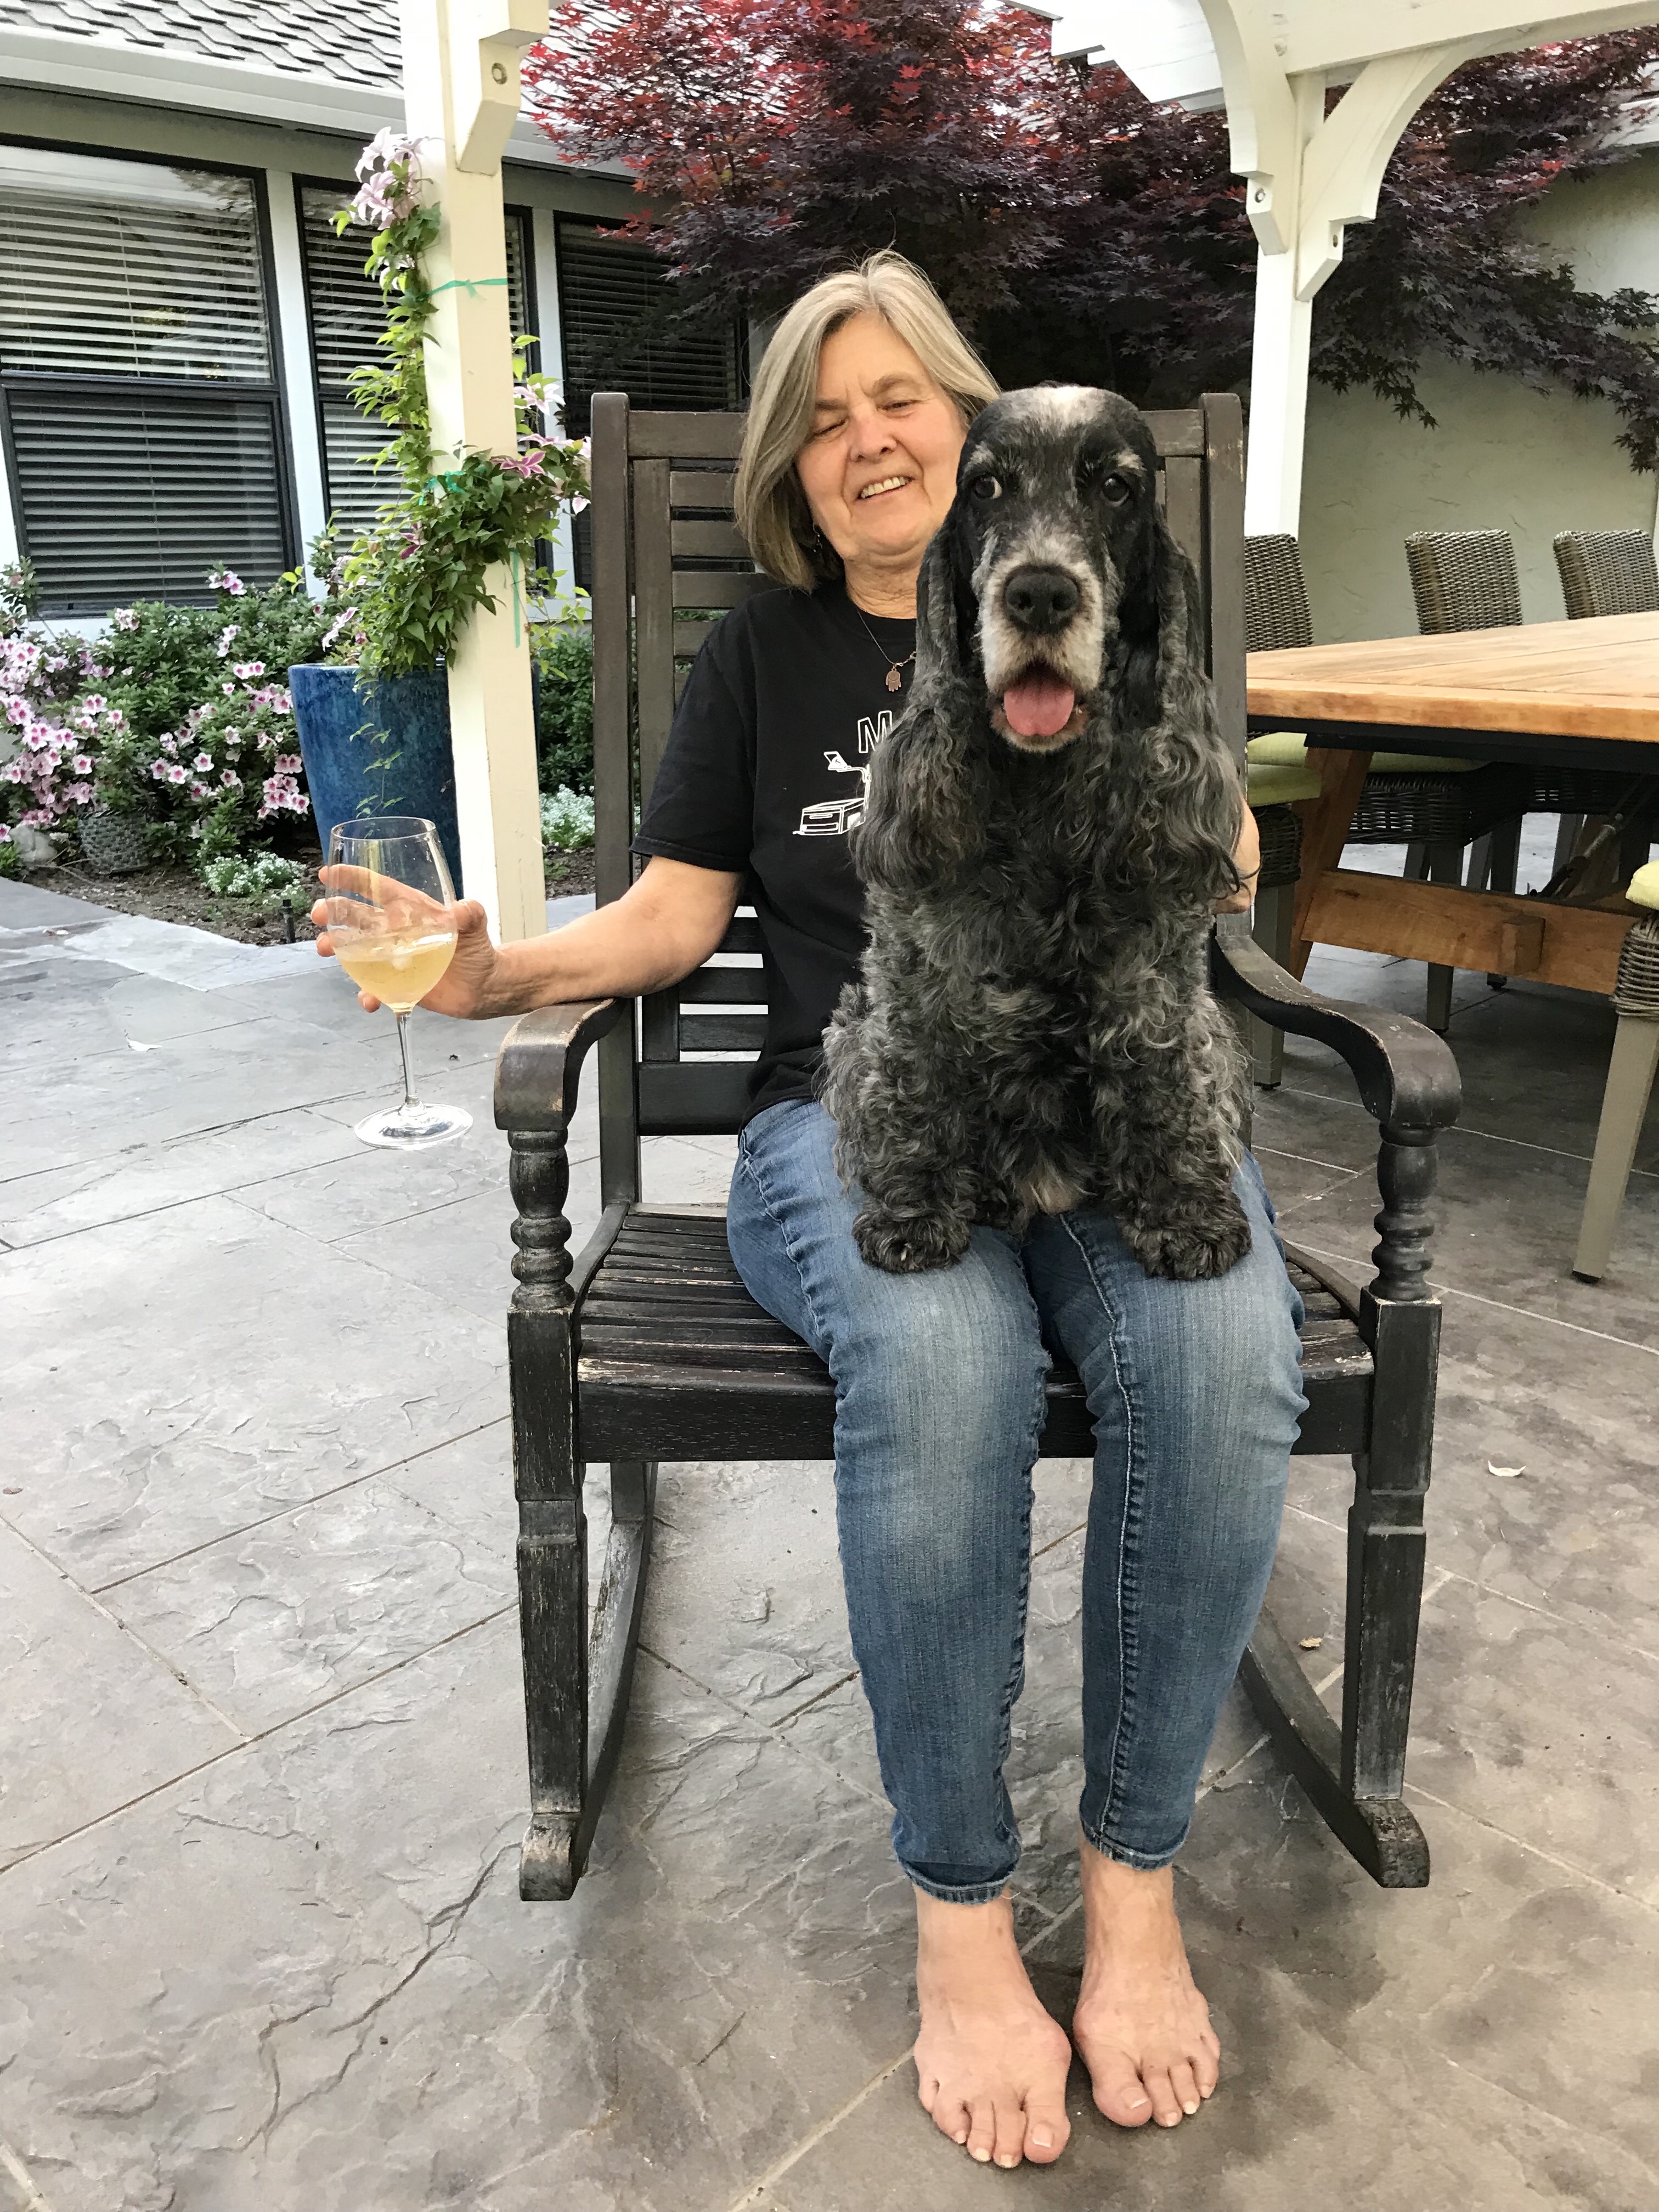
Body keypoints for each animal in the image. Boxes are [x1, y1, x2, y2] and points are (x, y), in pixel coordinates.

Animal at [820, 385, 1253, 1281]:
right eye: (986, 487)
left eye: (1116, 489)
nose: (1041, 592)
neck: (1046, 796)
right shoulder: (913, 971)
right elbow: (916, 1079)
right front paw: (916, 1209)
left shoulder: (1159, 979)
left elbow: (1167, 1086)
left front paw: (1185, 1213)